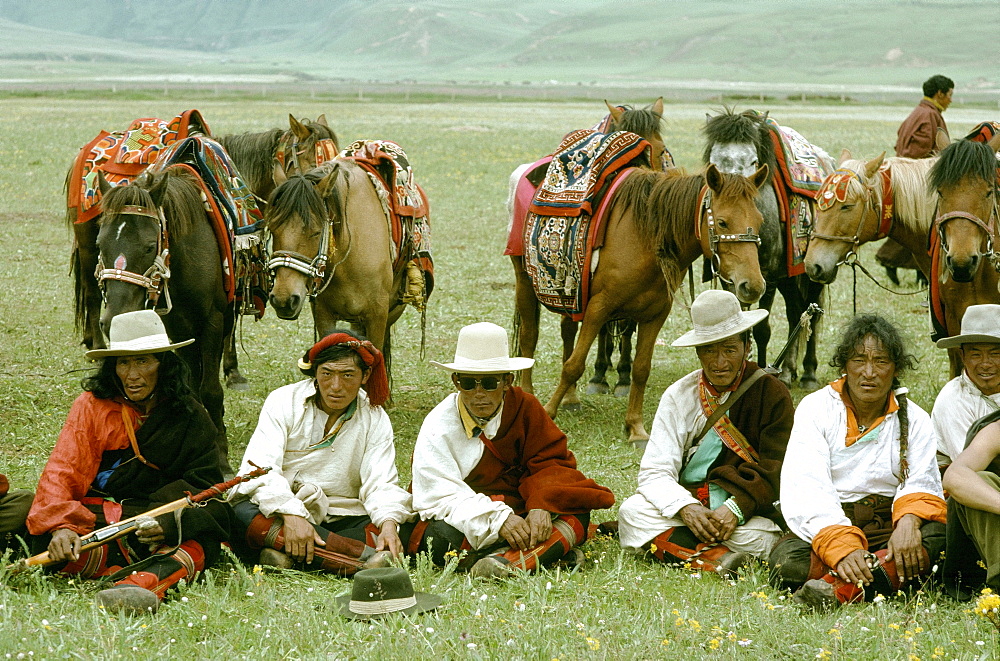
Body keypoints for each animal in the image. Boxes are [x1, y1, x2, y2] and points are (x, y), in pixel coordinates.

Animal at [95, 168, 232, 472]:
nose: (113, 317)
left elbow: (210, 390)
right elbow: (191, 388)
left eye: (149, 246)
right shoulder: (176, 330)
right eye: (99, 242)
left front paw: (222, 456)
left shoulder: (213, 322)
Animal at [512, 164, 768, 440]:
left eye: (760, 221)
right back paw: (529, 392)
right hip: (524, 280)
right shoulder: (598, 308)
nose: (753, 285)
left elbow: (641, 369)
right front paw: (547, 412)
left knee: (567, 330)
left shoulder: (655, 315)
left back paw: (570, 399)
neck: (646, 239)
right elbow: (574, 365)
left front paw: (635, 427)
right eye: (722, 222)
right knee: (529, 338)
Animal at [704, 107, 836, 386]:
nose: (733, 196)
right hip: (790, 277)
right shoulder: (731, 279)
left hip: (817, 271)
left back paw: (807, 372)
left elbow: (762, 329)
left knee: (811, 311)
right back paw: (788, 370)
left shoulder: (770, 278)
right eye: (714, 162)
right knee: (796, 311)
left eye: (753, 161)